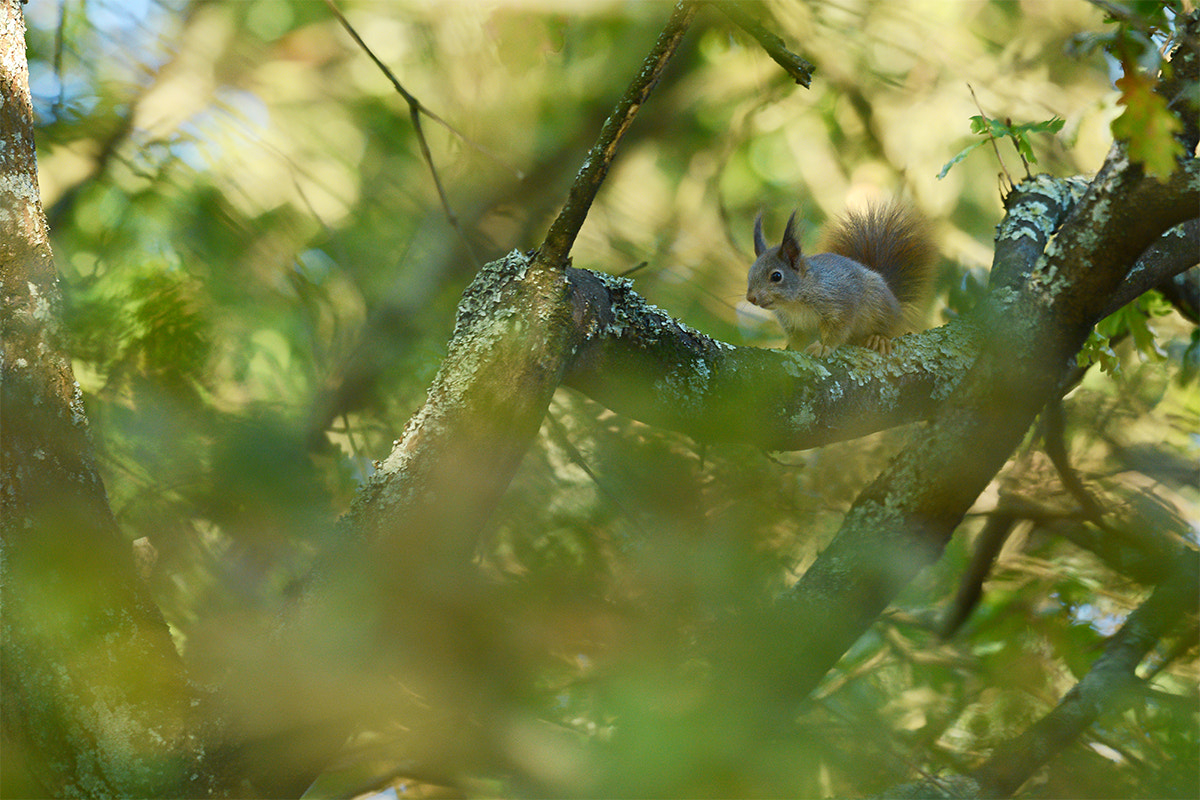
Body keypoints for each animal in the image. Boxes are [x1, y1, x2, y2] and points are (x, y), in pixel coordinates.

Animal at [745, 201, 937, 356]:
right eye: (750, 273)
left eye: (776, 276)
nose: (751, 298)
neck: (795, 304)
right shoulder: (793, 326)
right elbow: (800, 340)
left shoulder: (840, 303)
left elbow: (837, 331)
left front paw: (824, 347)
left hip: (881, 308)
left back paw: (879, 338)